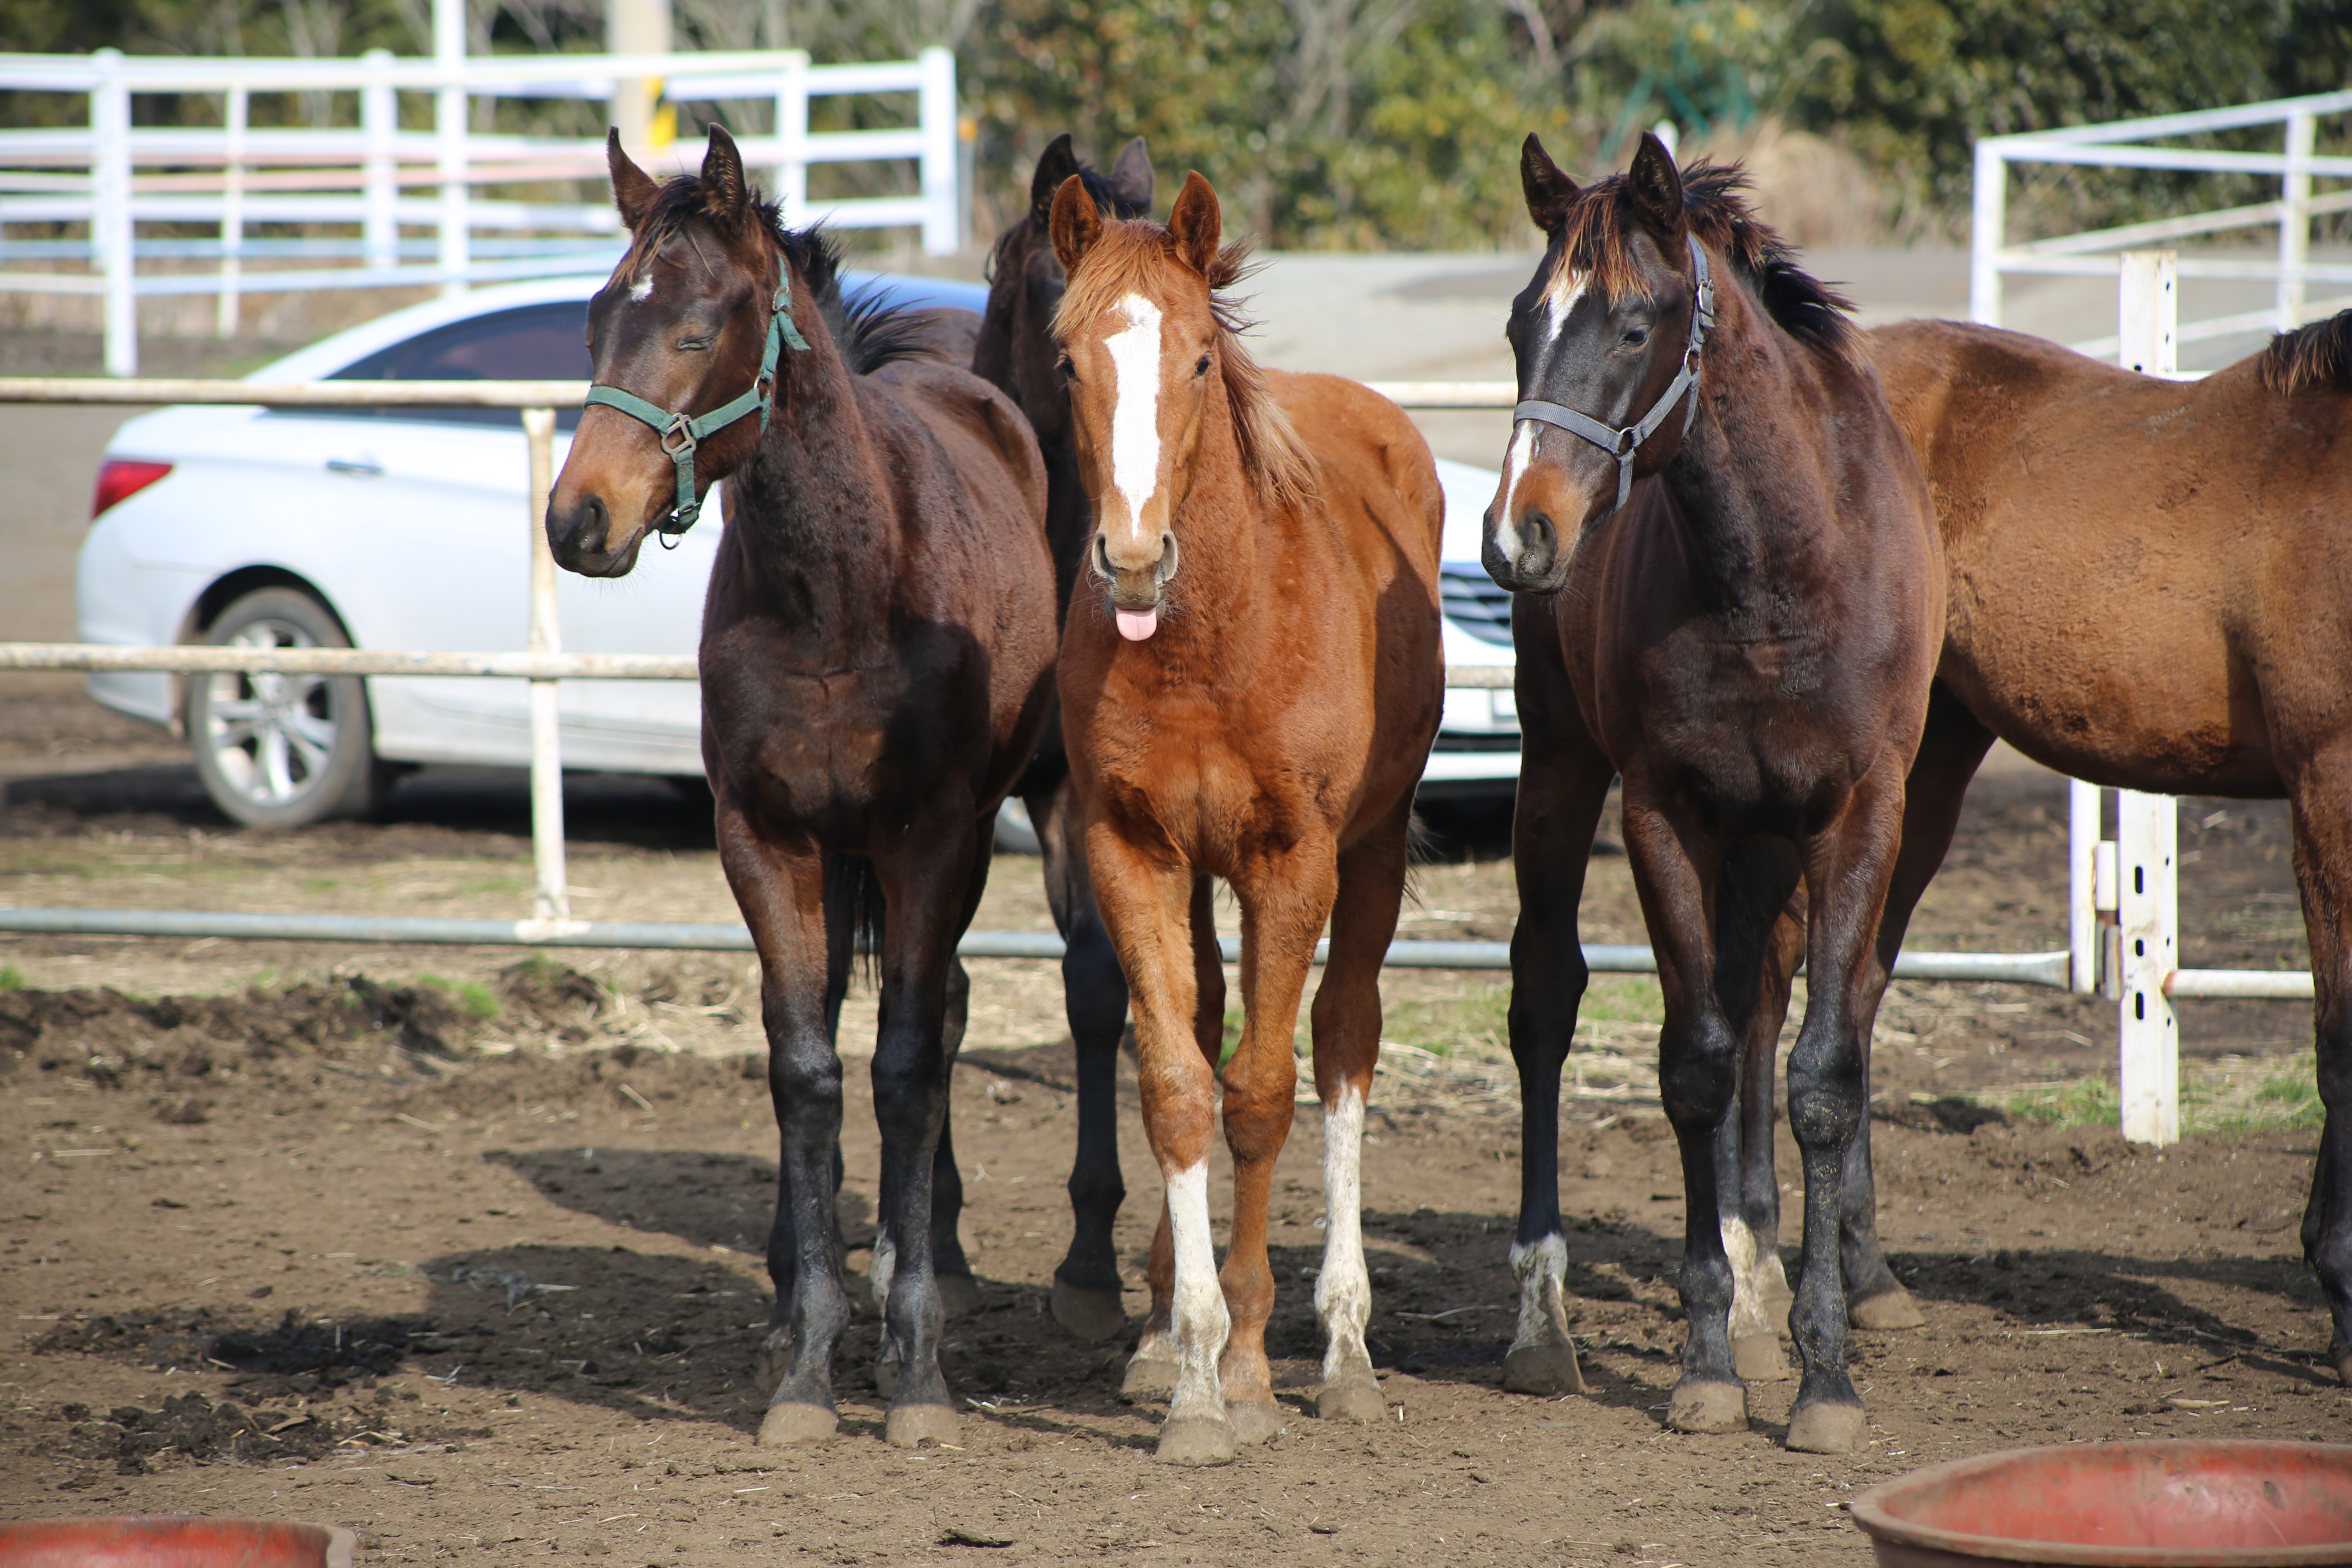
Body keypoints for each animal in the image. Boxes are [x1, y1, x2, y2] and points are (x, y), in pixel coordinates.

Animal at [541, 129, 1058, 1457]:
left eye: (696, 324)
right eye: (595, 321)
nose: (578, 520)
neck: (838, 592)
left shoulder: (934, 840)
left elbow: (909, 1065)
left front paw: (915, 1367)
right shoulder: (765, 840)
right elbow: (805, 1067)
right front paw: (812, 1360)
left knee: (944, 1017)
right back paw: (794, 1293)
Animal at [1054, 175, 1449, 1476]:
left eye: (1197, 360)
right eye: (1068, 358)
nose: (1131, 558)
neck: (1207, 639)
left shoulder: (1292, 860)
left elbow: (1266, 1095)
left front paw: (1249, 1367)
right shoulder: (1131, 852)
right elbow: (1179, 1084)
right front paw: (1187, 1372)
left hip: (1365, 857)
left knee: (1343, 1042)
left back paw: (1345, 1349)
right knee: (1211, 1022)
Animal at [1477, 135, 1938, 1457]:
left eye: (1634, 325)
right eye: (1521, 321)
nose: (1517, 535)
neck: (1776, 570)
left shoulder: (1855, 812)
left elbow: (1818, 1078)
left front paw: (1820, 1371)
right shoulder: (1662, 811)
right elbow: (1691, 1061)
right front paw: (1703, 1365)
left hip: (1770, 841)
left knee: (1763, 1003)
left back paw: (1760, 1281)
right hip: (1560, 770)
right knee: (1547, 998)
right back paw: (1548, 1320)